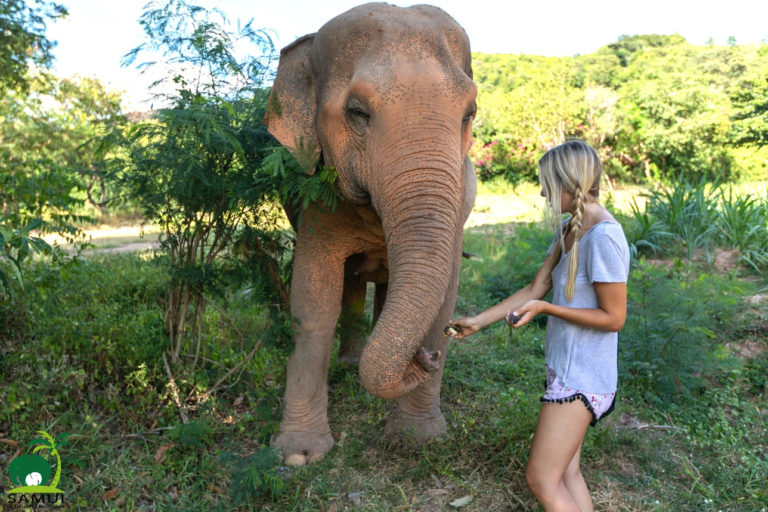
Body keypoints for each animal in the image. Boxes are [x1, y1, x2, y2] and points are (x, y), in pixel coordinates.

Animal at [264, 2, 477, 466]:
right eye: (357, 112)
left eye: (469, 114)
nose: (425, 359)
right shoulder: (317, 198)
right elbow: (313, 305)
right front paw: (299, 455)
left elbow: (444, 301)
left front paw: (419, 439)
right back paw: (350, 362)